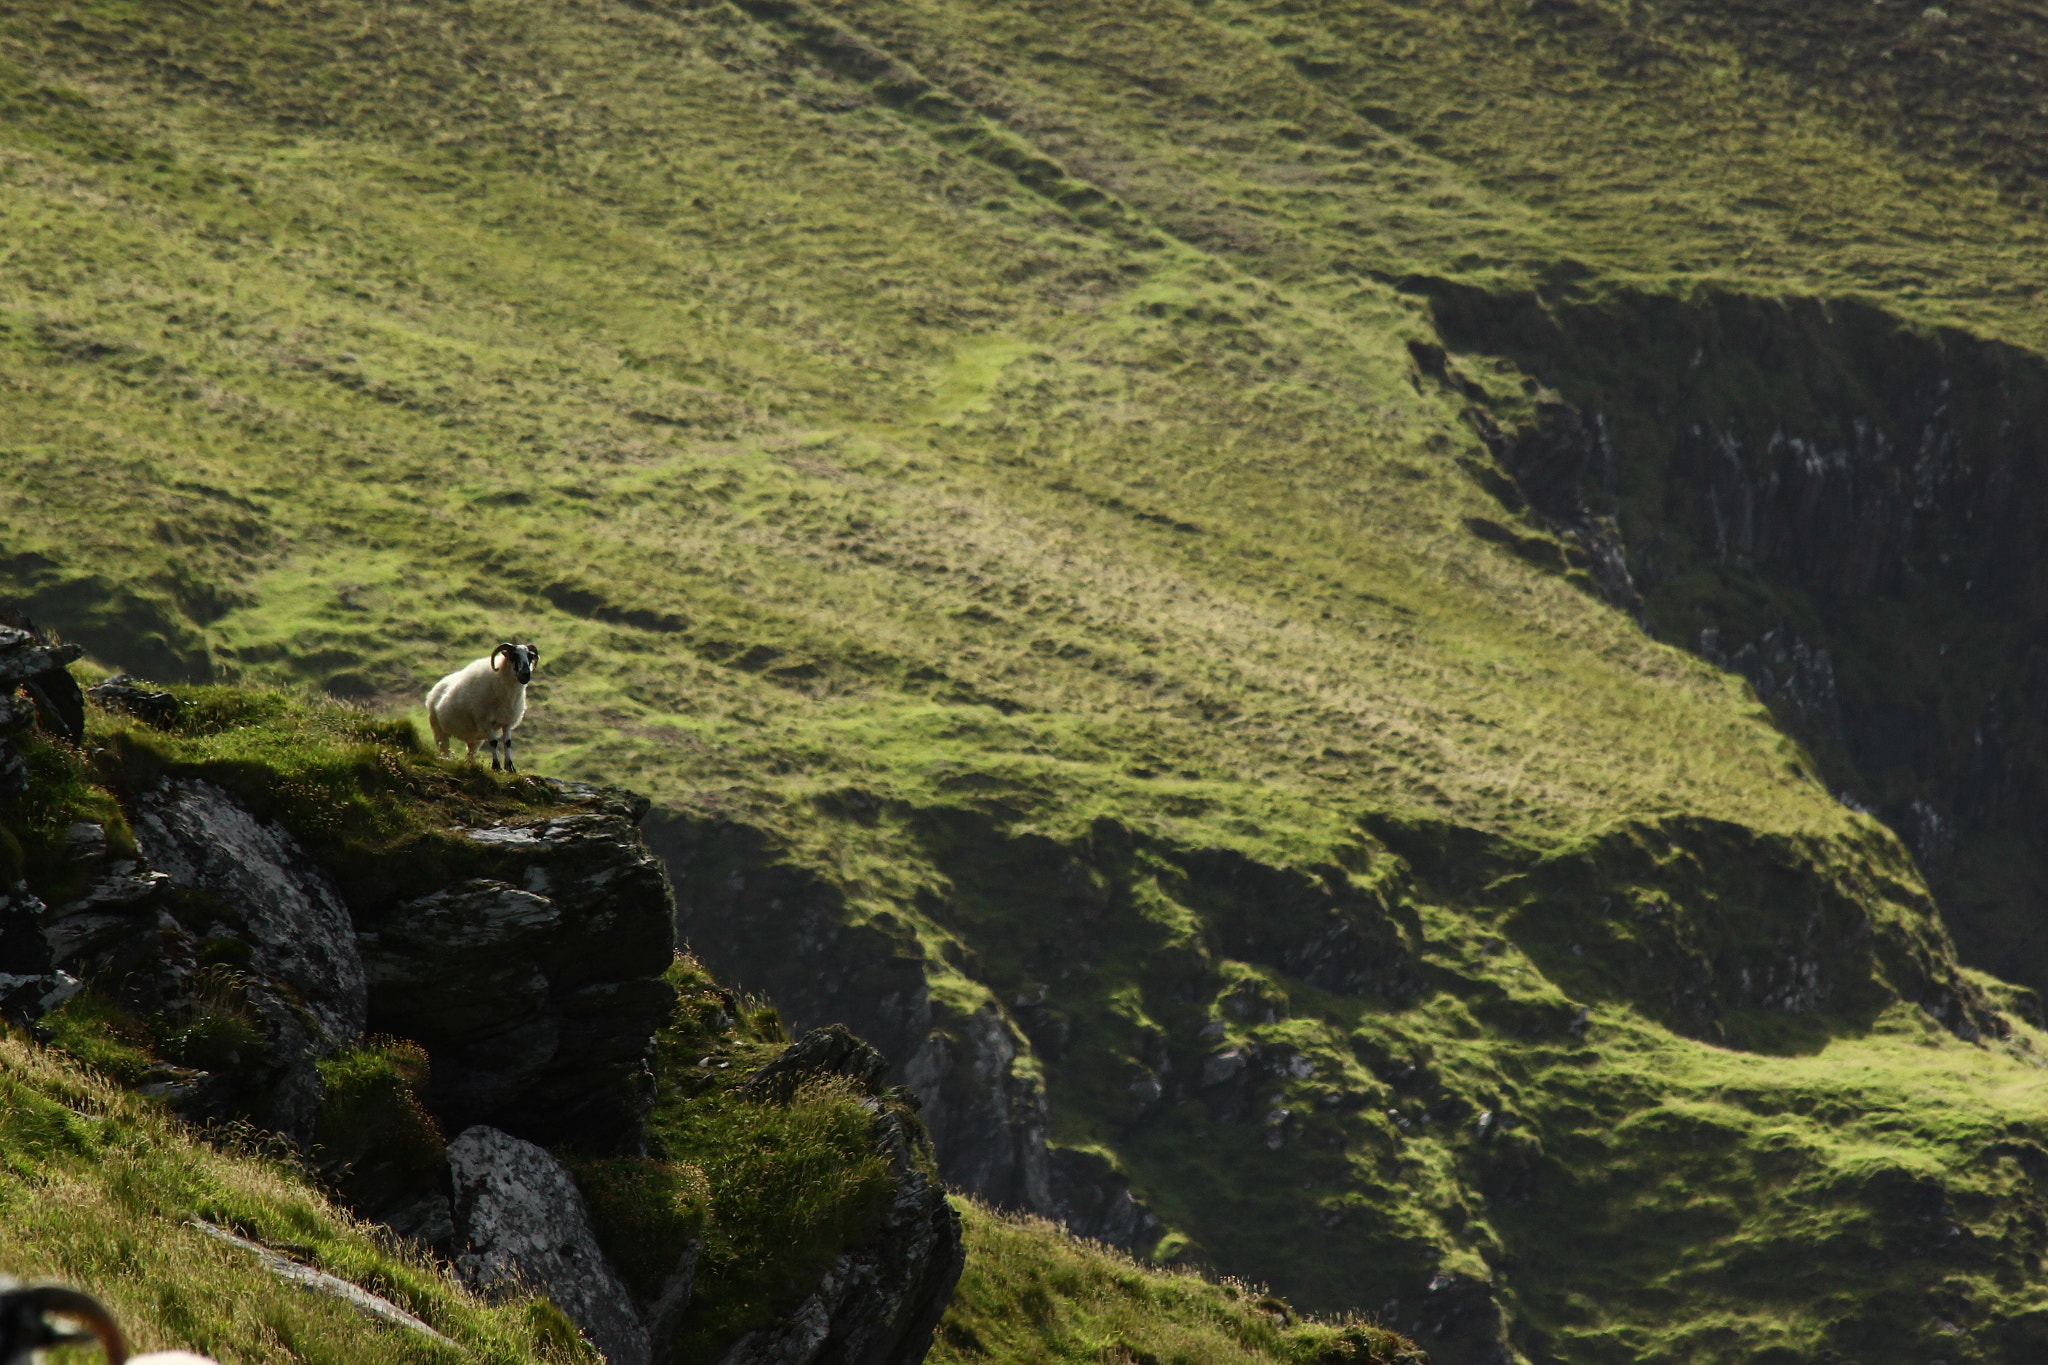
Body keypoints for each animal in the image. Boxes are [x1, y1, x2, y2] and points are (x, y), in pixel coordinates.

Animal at [425, 642, 539, 772]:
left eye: (530, 656)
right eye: (513, 656)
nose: (526, 675)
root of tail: (434, 689)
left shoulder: (507, 721)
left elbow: (507, 742)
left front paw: (510, 768)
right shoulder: (485, 721)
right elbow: (493, 742)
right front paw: (496, 767)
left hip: (474, 740)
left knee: (470, 754)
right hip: (439, 730)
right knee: (444, 749)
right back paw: (447, 759)